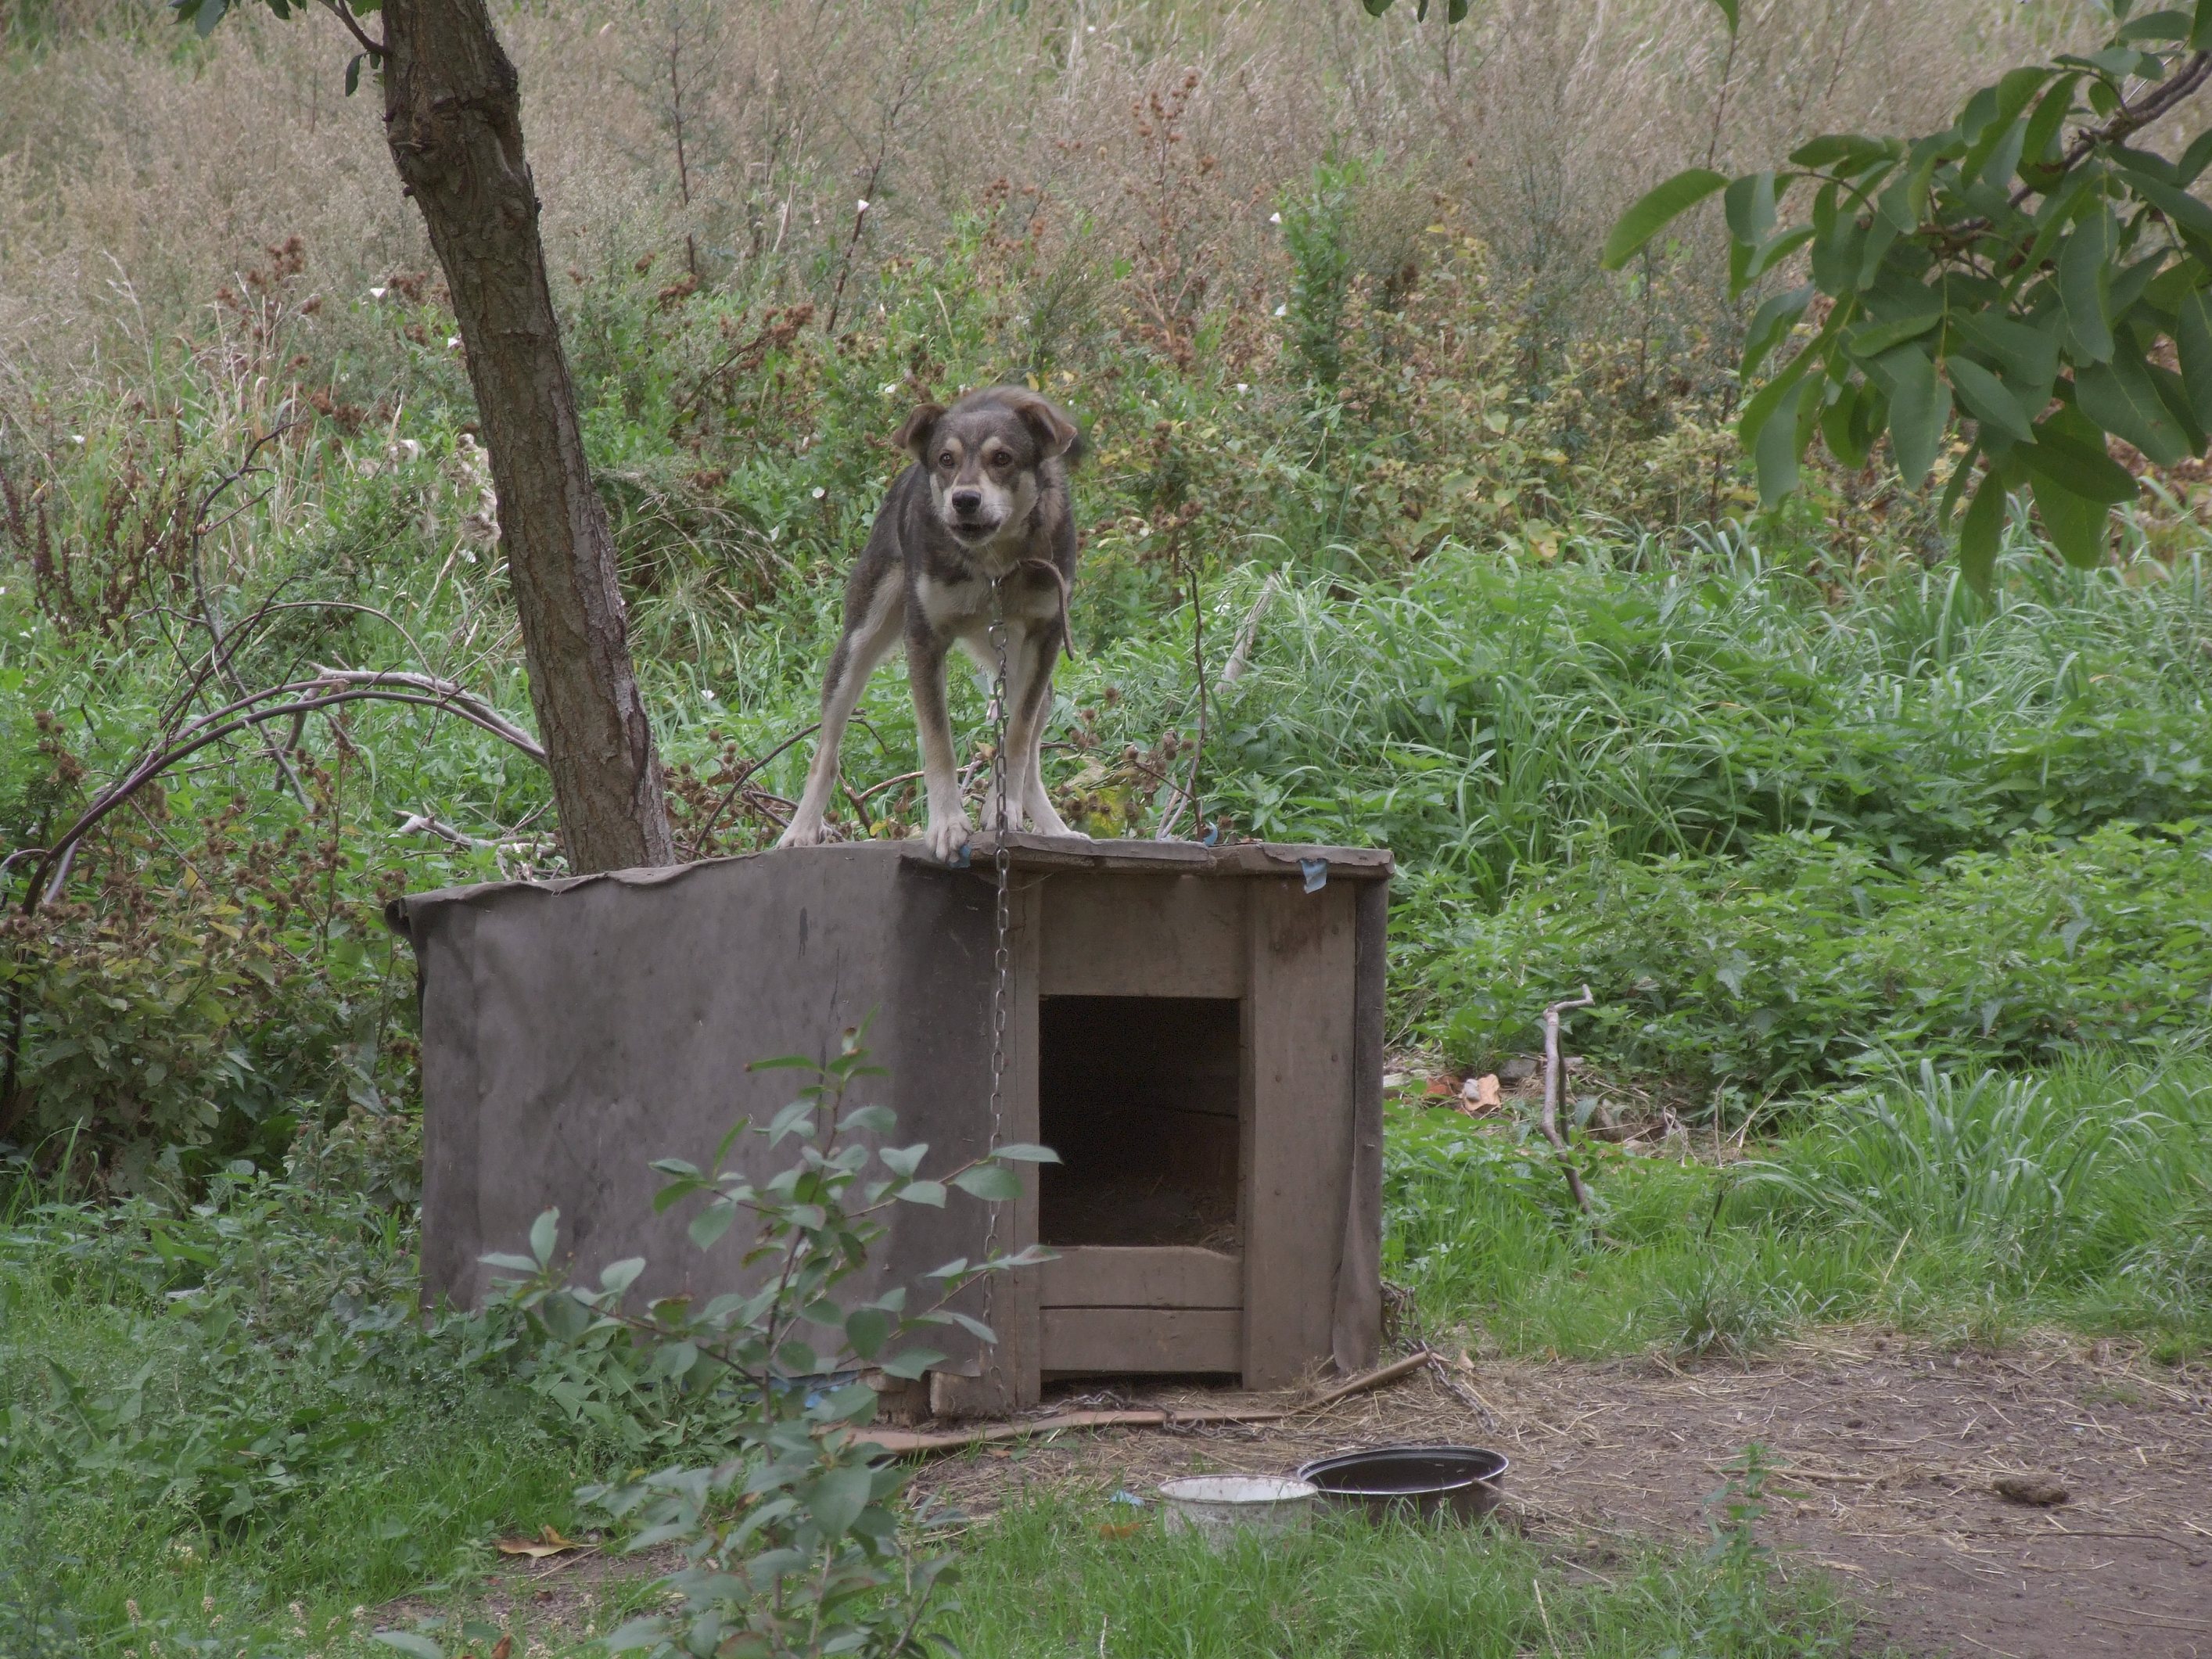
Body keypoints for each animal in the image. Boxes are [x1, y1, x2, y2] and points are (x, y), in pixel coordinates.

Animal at [778, 385, 1088, 862]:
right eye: (946, 459)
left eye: (1003, 458)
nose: (964, 500)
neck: (993, 567)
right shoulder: (924, 638)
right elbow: (938, 744)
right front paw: (946, 823)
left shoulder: (1046, 636)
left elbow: (1017, 740)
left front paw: (1004, 809)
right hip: (858, 643)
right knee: (826, 753)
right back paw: (802, 828)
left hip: (1024, 664)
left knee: (1032, 742)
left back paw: (1051, 827)